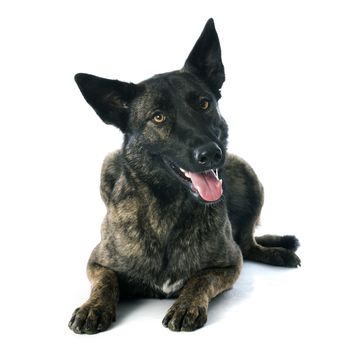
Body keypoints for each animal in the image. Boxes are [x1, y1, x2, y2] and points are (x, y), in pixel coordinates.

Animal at [68, 18, 300, 334]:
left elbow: (200, 278)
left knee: (249, 243)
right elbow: (106, 281)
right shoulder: (97, 262)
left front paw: (186, 305)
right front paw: (93, 307)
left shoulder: (229, 265)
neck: (168, 209)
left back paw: (277, 252)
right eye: (158, 117)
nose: (210, 154)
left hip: (248, 174)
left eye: (203, 103)